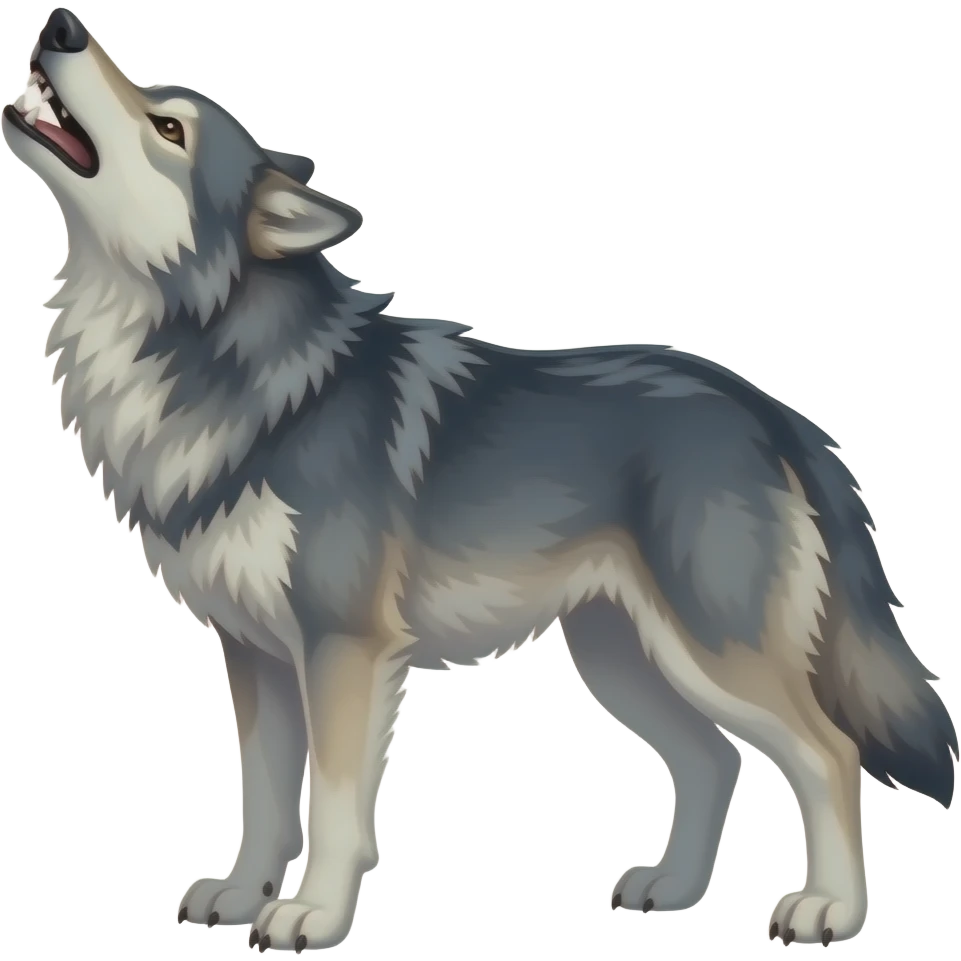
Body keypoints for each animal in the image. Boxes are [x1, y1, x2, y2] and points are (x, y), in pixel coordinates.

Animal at [4, 7, 957, 953]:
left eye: (168, 128)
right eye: (155, 104)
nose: (60, 26)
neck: (222, 360)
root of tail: (773, 411)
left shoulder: (345, 647)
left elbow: (334, 808)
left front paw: (313, 914)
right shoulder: (254, 653)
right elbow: (266, 800)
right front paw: (243, 896)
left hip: (712, 651)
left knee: (829, 754)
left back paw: (827, 908)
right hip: (621, 658)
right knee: (715, 757)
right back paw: (674, 888)